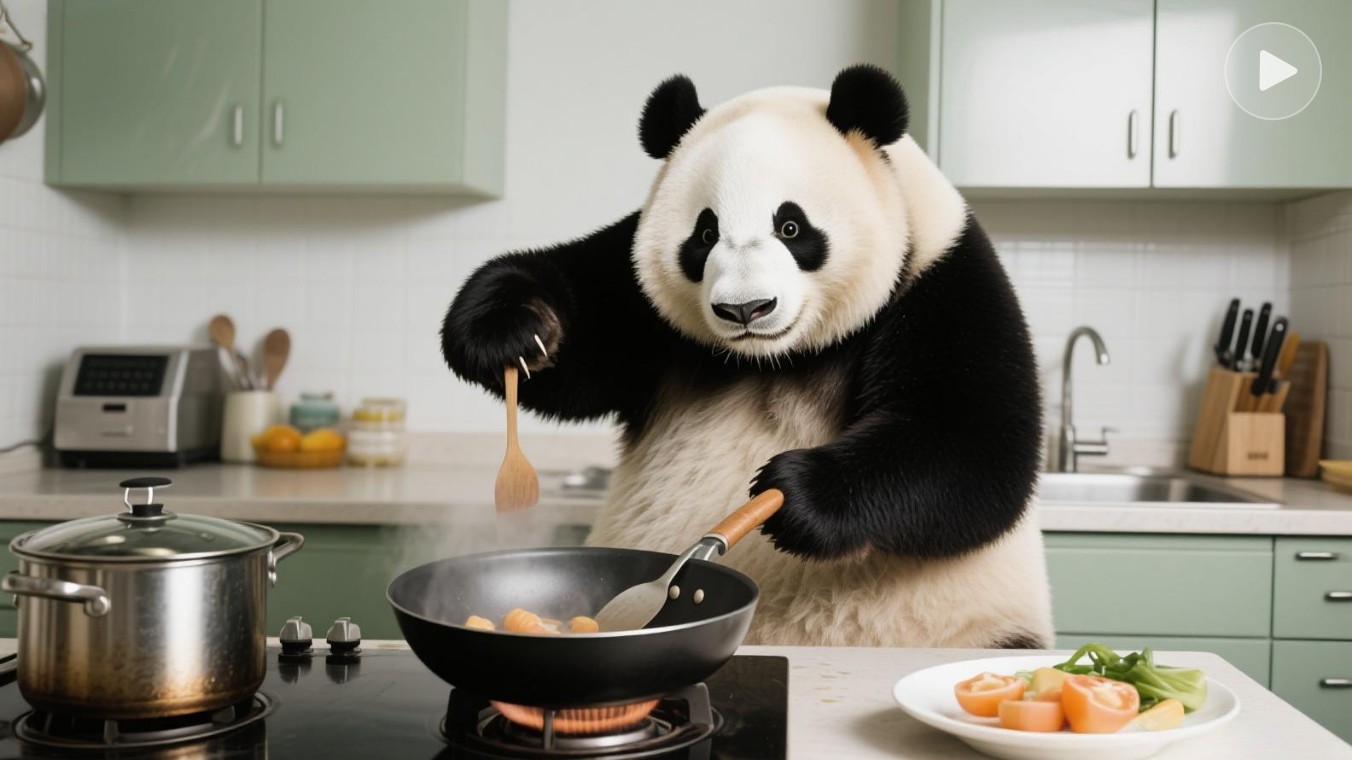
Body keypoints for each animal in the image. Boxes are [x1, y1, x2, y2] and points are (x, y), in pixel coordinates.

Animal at [441, 65, 1052, 649]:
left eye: (792, 225)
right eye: (705, 232)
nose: (745, 309)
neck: (775, 358)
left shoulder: (940, 280)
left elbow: (975, 444)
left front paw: (797, 494)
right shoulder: (641, 301)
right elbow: (581, 343)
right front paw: (514, 330)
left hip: (977, 622)